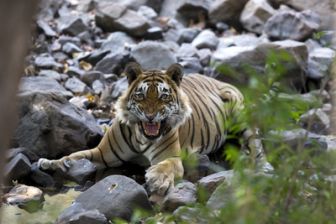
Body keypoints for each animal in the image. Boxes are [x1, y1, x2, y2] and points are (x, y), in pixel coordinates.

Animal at [38, 62, 272, 195]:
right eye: (141, 96)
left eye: (163, 96)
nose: (150, 116)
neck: (141, 137)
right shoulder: (101, 153)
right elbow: (76, 154)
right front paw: (50, 162)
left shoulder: (171, 157)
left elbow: (166, 166)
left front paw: (157, 181)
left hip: (240, 112)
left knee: (256, 144)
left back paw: (262, 166)